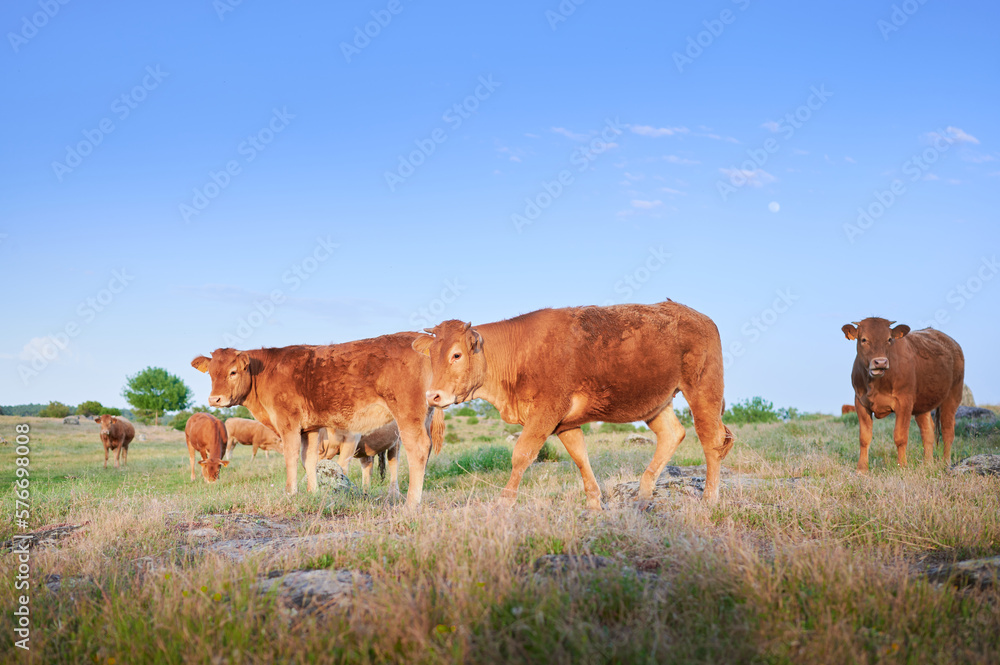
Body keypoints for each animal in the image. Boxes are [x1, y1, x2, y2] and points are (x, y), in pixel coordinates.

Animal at [412, 300, 736, 508]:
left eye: (456, 354)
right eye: (432, 355)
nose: (433, 396)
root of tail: (698, 316)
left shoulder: (546, 413)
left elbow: (522, 455)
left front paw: (503, 504)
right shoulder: (565, 423)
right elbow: (580, 458)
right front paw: (594, 504)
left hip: (703, 390)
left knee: (711, 441)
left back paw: (709, 500)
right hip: (655, 402)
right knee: (672, 434)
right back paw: (643, 498)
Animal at [840, 318, 964, 470]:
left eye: (889, 339)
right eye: (863, 339)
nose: (880, 362)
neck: (876, 384)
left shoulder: (904, 403)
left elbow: (900, 436)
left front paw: (902, 466)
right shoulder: (860, 402)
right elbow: (864, 437)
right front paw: (862, 469)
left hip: (952, 395)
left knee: (947, 431)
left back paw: (946, 464)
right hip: (923, 403)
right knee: (928, 431)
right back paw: (927, 464)